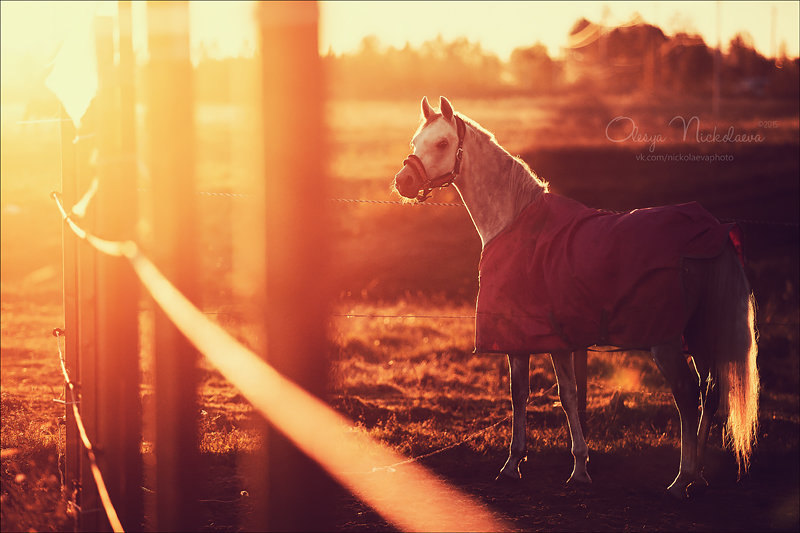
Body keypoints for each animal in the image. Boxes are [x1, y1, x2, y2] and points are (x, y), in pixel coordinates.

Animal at [396, 95, 760, 498]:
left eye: (443, 143)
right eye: (415, 142)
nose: (403, 181)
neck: (516, 223)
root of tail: (712, 233)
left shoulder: (526, 341)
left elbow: (530, 394)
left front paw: (519, 464)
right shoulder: (554, 341)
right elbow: (560, 395)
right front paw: (574, 467)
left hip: (666, 343)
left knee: (686, 395)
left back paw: (682, 478)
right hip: (699, 336)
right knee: (710, 392)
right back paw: (698, 475)